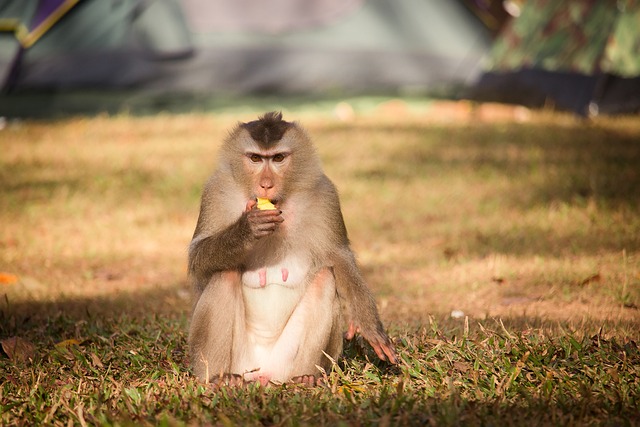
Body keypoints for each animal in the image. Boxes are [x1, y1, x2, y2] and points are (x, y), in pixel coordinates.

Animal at [186, 112, 396, 386]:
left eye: (278, 158)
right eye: (255, 158)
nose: (265, 185)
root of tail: (263, 375)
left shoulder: (325, 196)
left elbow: (340, 257)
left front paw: (369, 326)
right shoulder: (216, 191)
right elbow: (197, 256)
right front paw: (246, 229)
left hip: (283, 364)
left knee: (324, 279)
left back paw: (305, 377)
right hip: (239, 362)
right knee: (225, 273)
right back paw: (219, 378)